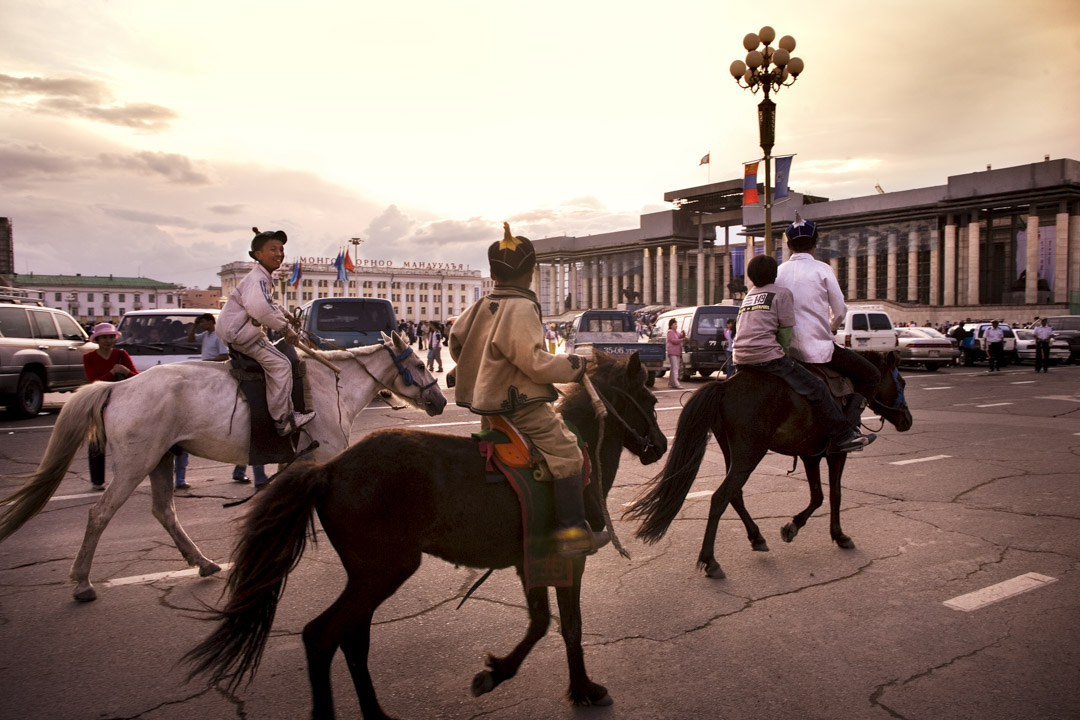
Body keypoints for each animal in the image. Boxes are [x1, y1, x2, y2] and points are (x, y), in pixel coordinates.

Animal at [0, 332, 447, 604]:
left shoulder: (293, 459)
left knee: (164, 511)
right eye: (420, 366)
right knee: (100, 514)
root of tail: (118, 385)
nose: (441, 401)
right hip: (134, 464)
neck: (330, 385)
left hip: (161, 460)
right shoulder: (325, 454)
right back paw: (81, 581)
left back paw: (202, 562)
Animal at [185, 354, 665, 720]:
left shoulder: (531, 559)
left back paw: (376, 713)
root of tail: (329, 470)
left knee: (352, 639)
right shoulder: (567, 558)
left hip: (368, 575)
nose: (659, 446)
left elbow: (544, 621)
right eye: (649, 398)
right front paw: (569, 686)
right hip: (385, 570)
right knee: (322, 635)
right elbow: (566, 625)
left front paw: (521, 675)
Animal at [626, 349, 911, 578]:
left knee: (734, 494)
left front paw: (793, 527)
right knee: (720, 497)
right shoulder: (836, 453)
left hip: (734, 452)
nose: (907, 420)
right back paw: (710, 561)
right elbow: (835, 495)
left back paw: (756, 537)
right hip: (751, 453)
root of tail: (725, 386)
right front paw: (838, 535)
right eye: (903, 382)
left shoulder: (810, 455)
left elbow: (818, 495)